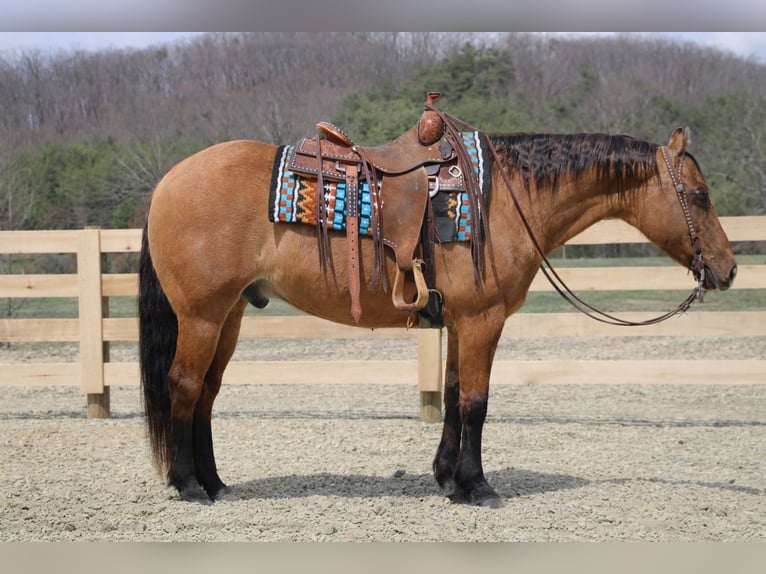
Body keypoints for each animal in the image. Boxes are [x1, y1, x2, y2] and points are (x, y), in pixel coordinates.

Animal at [138, 124, 737, 508]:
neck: (506, 198)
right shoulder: (483, 320)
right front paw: (478, 487)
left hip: (232, 315)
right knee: (184, 386)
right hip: (202, 316)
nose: (728, 270)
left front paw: (448, 479)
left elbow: (452, 397)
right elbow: (475, 403)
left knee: (207, 394)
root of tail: (168, 182)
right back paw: (187, 486)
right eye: (699, 195)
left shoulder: (460, 321)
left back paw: (215, 483)